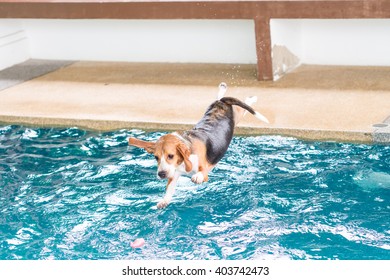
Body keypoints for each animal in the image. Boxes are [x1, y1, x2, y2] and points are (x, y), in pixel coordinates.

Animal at [129, 84, 268, 209]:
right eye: (156, 157)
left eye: (171, 156)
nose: (161, 174)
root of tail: (221, 103)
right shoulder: (174, 174)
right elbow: (169, 189)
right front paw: (164, 201)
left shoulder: (205, 172)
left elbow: (201, 173)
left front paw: (196, 176)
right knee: (221, 96)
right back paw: (223, 88)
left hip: (237, 115)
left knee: (244, 106)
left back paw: (252, 98)